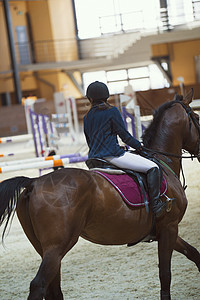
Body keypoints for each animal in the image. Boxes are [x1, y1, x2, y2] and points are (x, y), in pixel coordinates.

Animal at [0, 89, 199, 300]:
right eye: (196, 117)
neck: (162, 160)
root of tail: (33, 182)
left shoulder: (165, 230)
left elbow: (194, 254)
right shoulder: (169, 227)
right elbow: (165, 274)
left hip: (44, 249)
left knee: (53, 289)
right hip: (56, 247)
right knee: (39, 285)